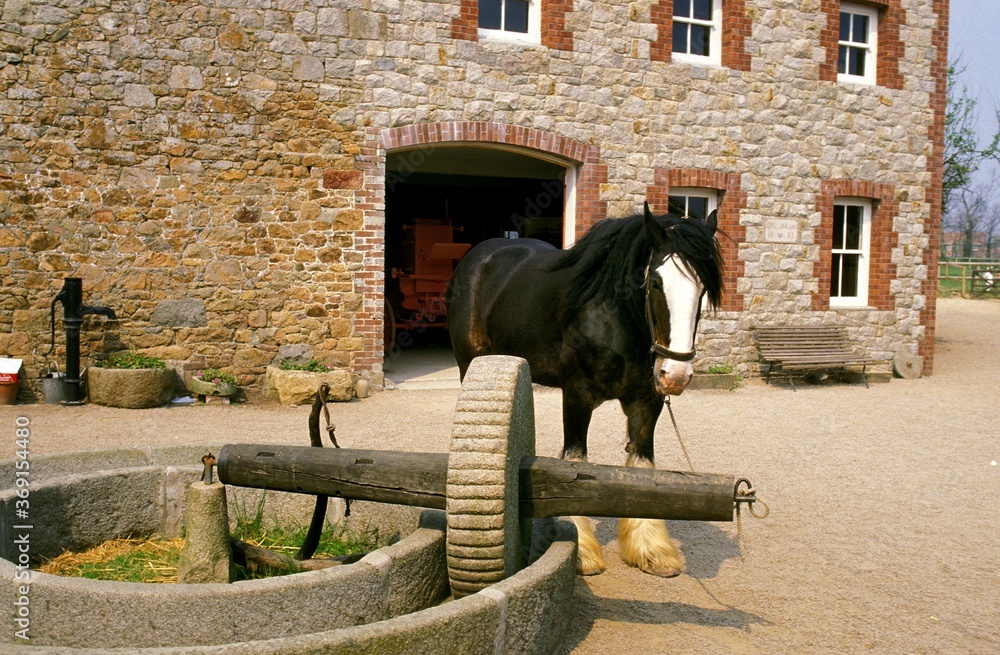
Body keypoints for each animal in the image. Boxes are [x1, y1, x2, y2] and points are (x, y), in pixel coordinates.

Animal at [446, 202, 720, 576]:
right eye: (655, 282)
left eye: (703, 288)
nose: (675, 375)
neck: (615, 321)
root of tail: (478, 257)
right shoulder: (577, 394)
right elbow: (574, 461)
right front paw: (583, 551)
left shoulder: (646, 401)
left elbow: (642, 463)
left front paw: (651, 548)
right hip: (471, 363)